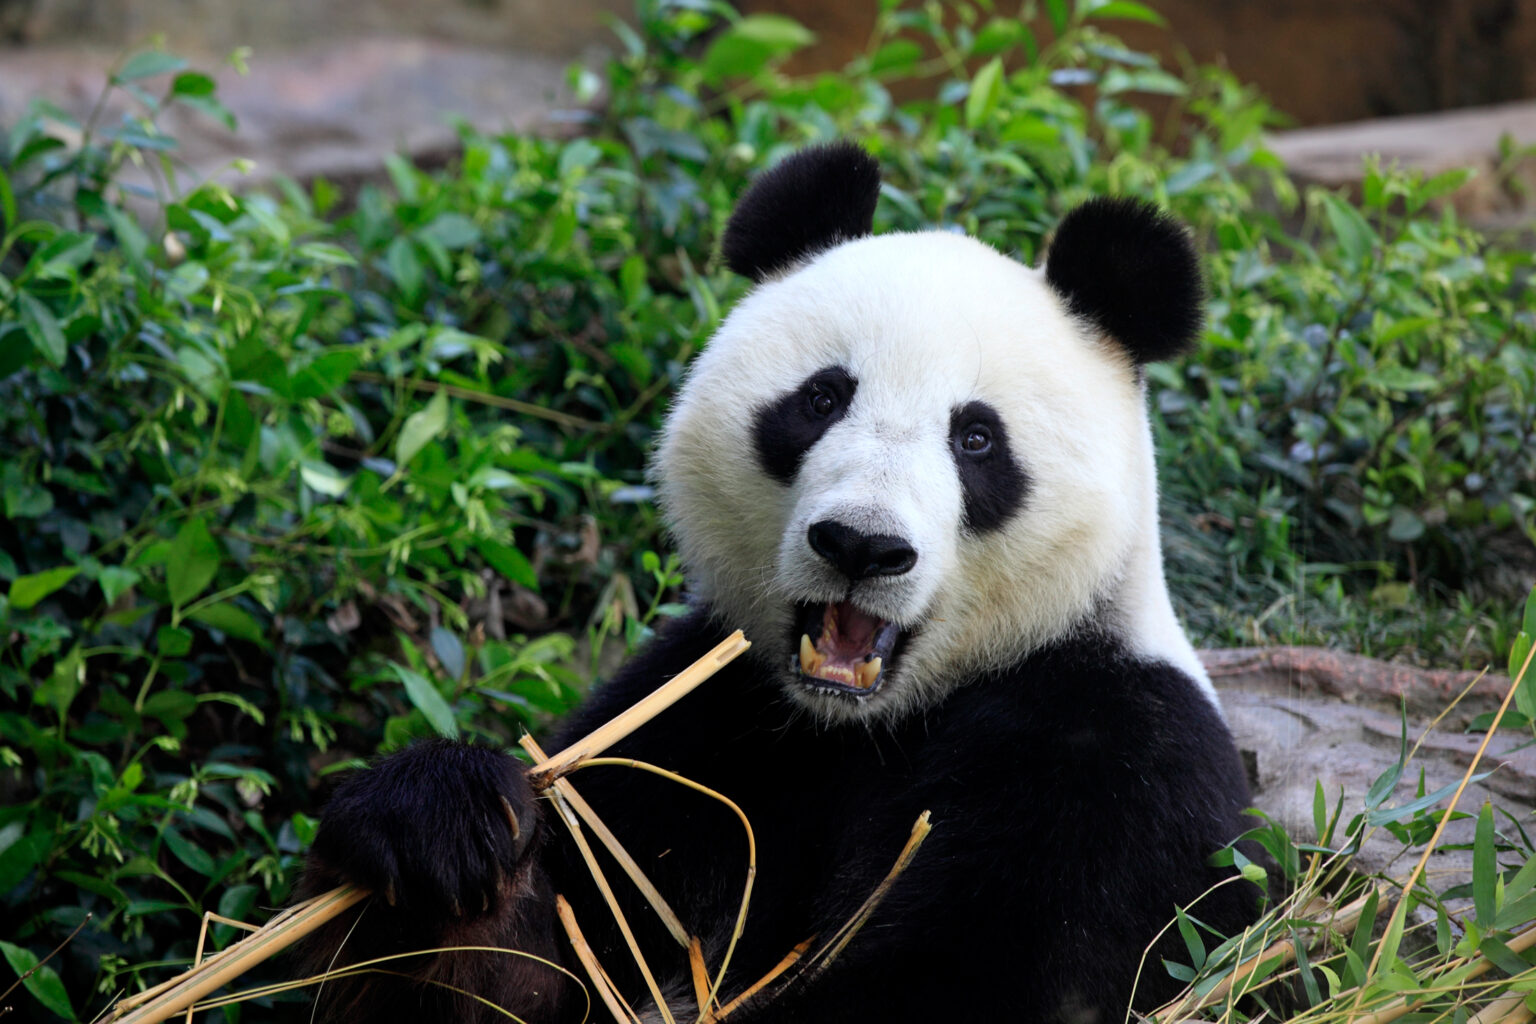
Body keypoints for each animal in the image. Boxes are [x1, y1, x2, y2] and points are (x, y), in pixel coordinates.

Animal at [295, 141, 1264, 1024]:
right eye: (822, 399)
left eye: (977, 439)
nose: (862, 546)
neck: (862, 728)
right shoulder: (709, 725)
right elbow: (547, 963)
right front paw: (442, 828)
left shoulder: (1112, 759)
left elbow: (987, 982)